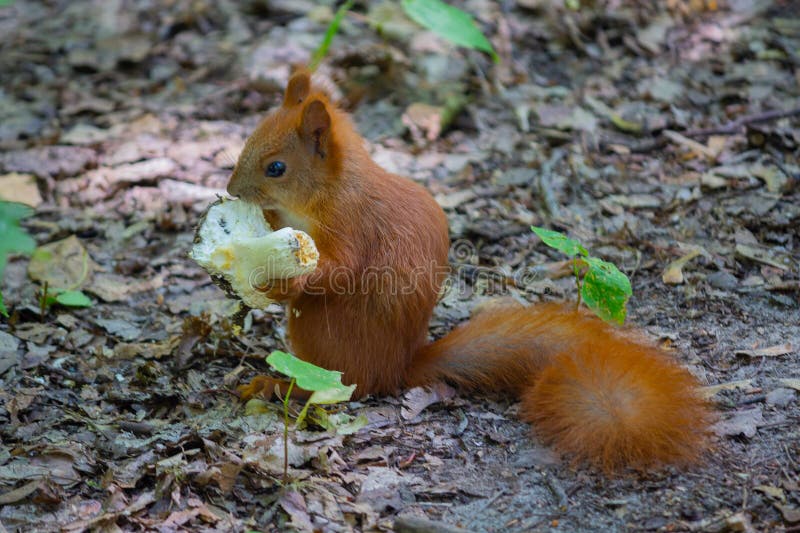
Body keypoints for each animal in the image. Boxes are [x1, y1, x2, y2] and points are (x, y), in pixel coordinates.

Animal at [225, 70, 711, 473]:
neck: (329, 190)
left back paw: (275, 384)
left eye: (276, 168)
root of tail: (395, 370)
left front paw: (276, 281)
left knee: (329, 388)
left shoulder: (351, 225)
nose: (231, 190)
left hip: (321, 342)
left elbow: (338, 271)